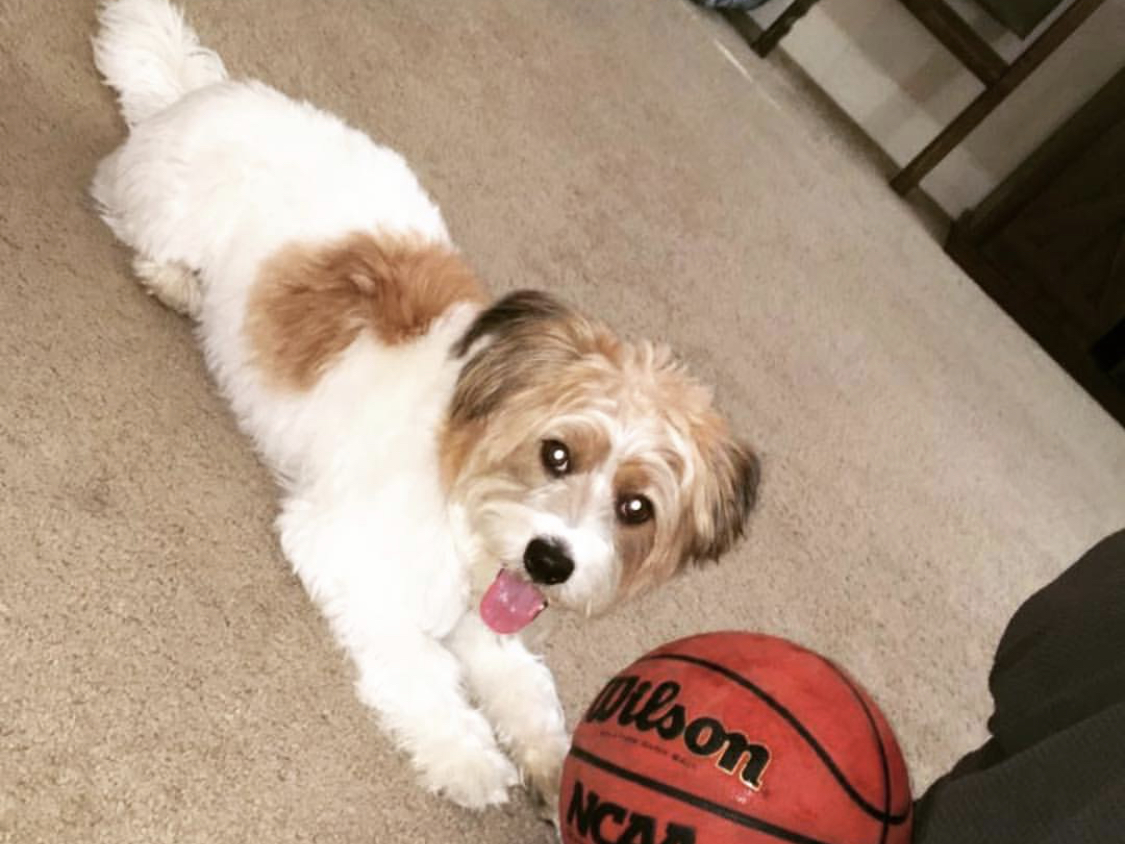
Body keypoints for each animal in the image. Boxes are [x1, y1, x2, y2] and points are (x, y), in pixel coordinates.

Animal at [87, 0, 756, 819]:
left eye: (636, 507)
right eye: (556, 453)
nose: (550, 559)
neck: (464, 490)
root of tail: (203, 94)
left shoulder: (490, 615)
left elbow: (527, 687)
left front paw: (552, 762)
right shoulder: (341, 551)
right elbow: (418, 666)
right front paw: (466, 756)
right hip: (164, 213)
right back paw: (173, 281)